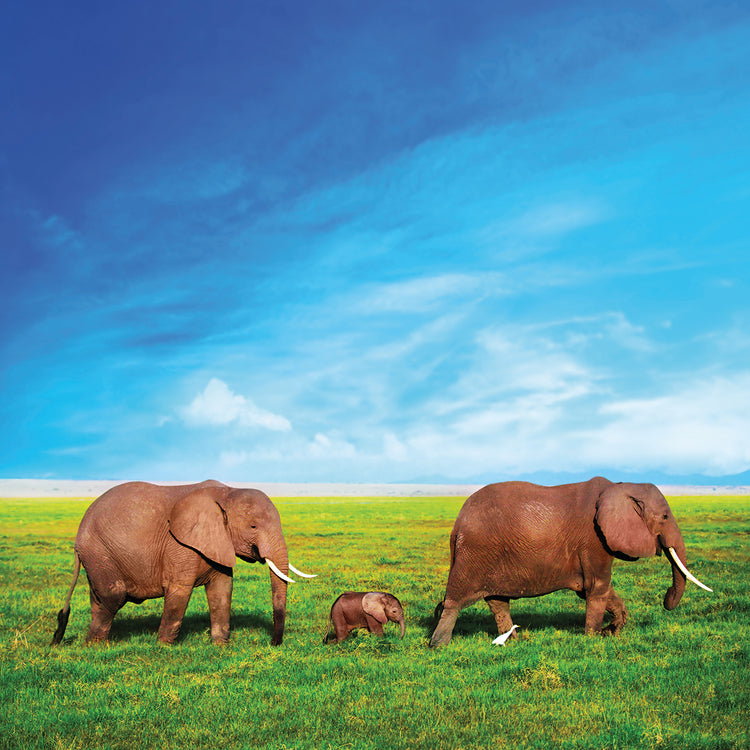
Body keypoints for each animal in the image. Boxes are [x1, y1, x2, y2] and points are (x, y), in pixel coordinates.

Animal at [51, 480, 315, 646]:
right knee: (113, 595)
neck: (227, 492)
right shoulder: (180, 544)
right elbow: (179, 590)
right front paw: (162, 647)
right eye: (253, 526)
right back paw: (96, 645)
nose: (273, 643)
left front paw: (220, 646)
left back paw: (93, 643)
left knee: (98, 597)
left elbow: (222, 591)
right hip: (99, 550)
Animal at [429, 477, 712, 647]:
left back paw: (514, 642)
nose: (666, 597)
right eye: (665, 517)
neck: (620, 486)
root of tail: (457, 524)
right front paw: (593, 639)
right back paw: (438, 645)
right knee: (455, 602)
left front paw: (612, 632)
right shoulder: (594, 539)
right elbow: (596, 588)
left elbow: (597, 589)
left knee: (498, 602)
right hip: (475, 552)